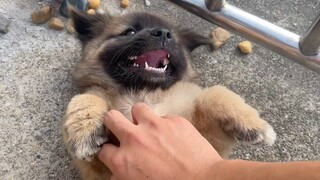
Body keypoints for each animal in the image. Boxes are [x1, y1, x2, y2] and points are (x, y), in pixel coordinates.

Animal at [63, 8, 278, 180]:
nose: (164, 34)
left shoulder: (211, 142)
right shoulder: (99, 167)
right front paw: (85, 129)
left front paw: (253, 124)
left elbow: (214, 93)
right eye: (129, 31)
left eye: (172, 36)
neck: (144, 92)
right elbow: (86, 97)